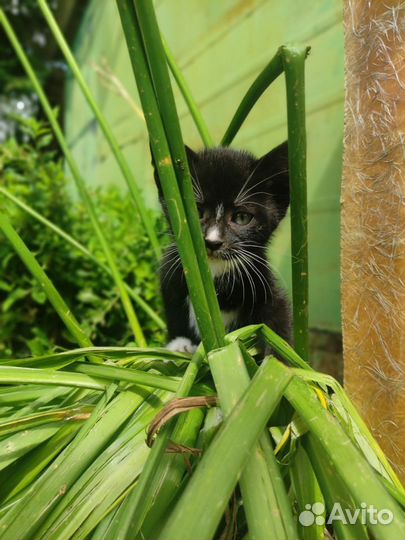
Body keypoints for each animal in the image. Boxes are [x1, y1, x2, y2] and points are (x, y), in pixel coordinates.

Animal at [152, 143, 290, 354]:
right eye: (196, 211)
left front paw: (278, 359)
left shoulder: (263, 280)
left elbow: (279, 317)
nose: (212, 241)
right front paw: (180, 344)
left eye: (242, 217)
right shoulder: (171, 274)